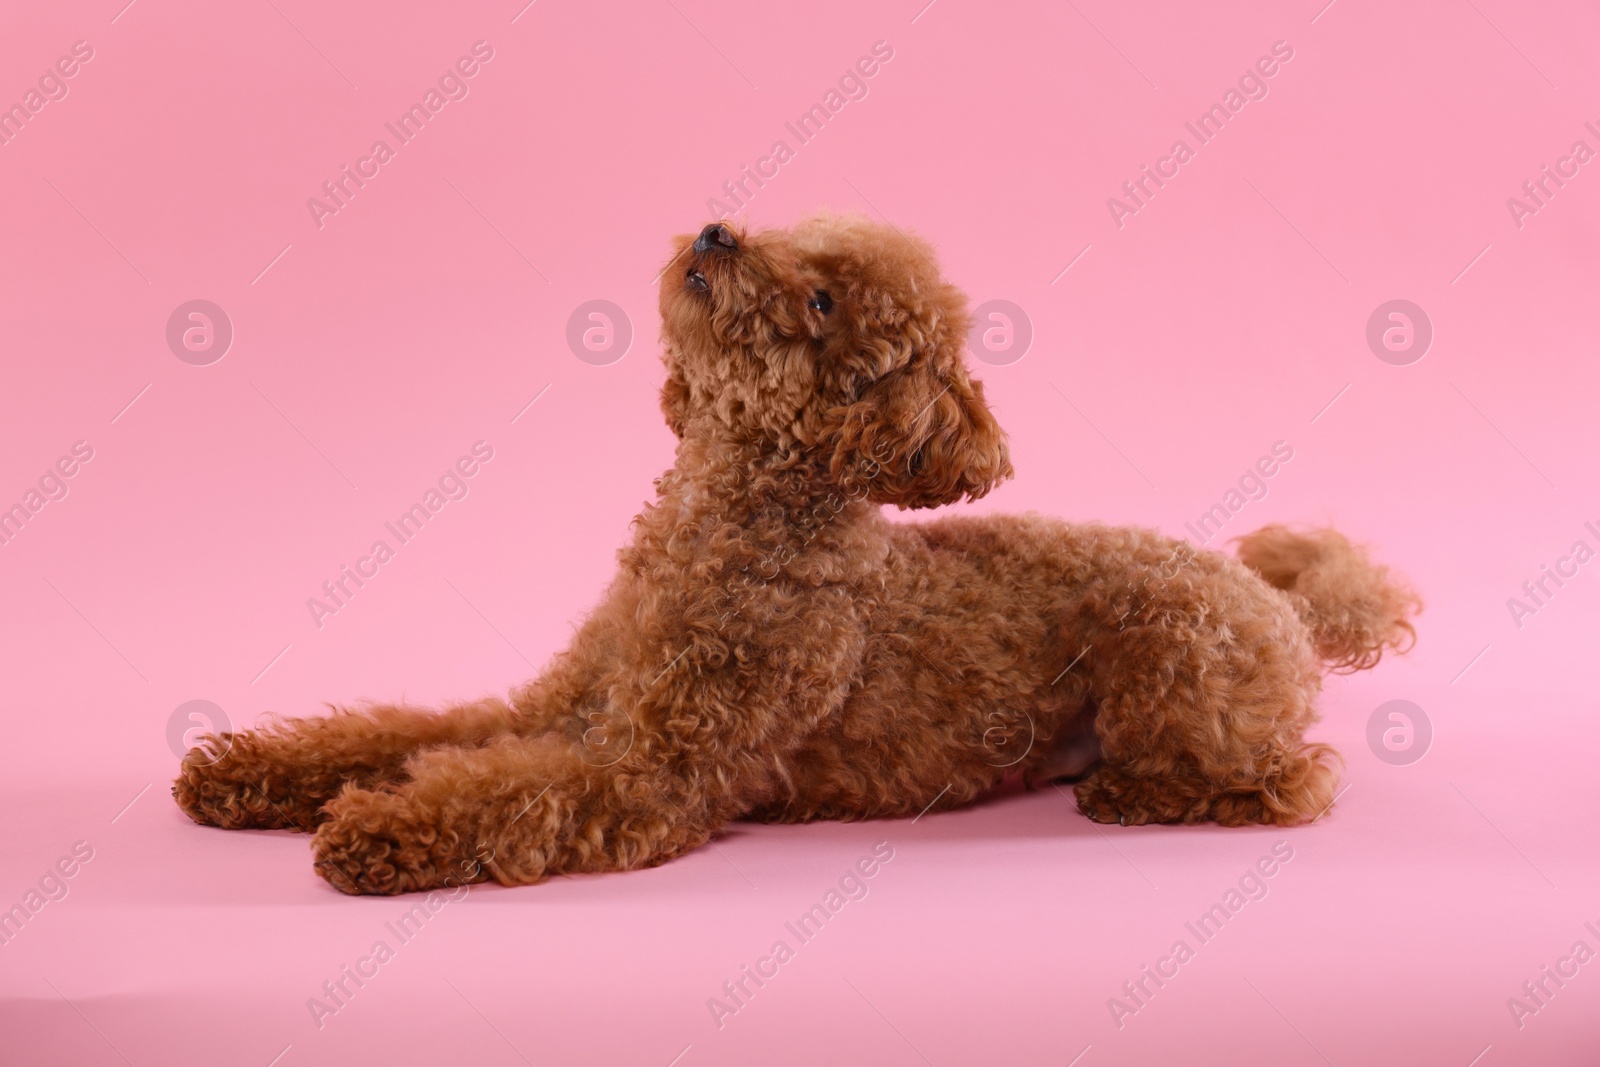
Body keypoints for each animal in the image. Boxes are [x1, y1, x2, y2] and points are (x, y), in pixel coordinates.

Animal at [175, 214, 1420, 895]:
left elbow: (504, 792)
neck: (723, 526)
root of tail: (1279, 599)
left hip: (1180, 666)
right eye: (789, 236)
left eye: (818, 301)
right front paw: (243, 772)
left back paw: (1133, 790)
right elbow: (402, 732)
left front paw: (374, 829)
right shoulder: (554, 705)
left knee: (1291, 778)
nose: (720, 230)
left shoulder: (650, 769)